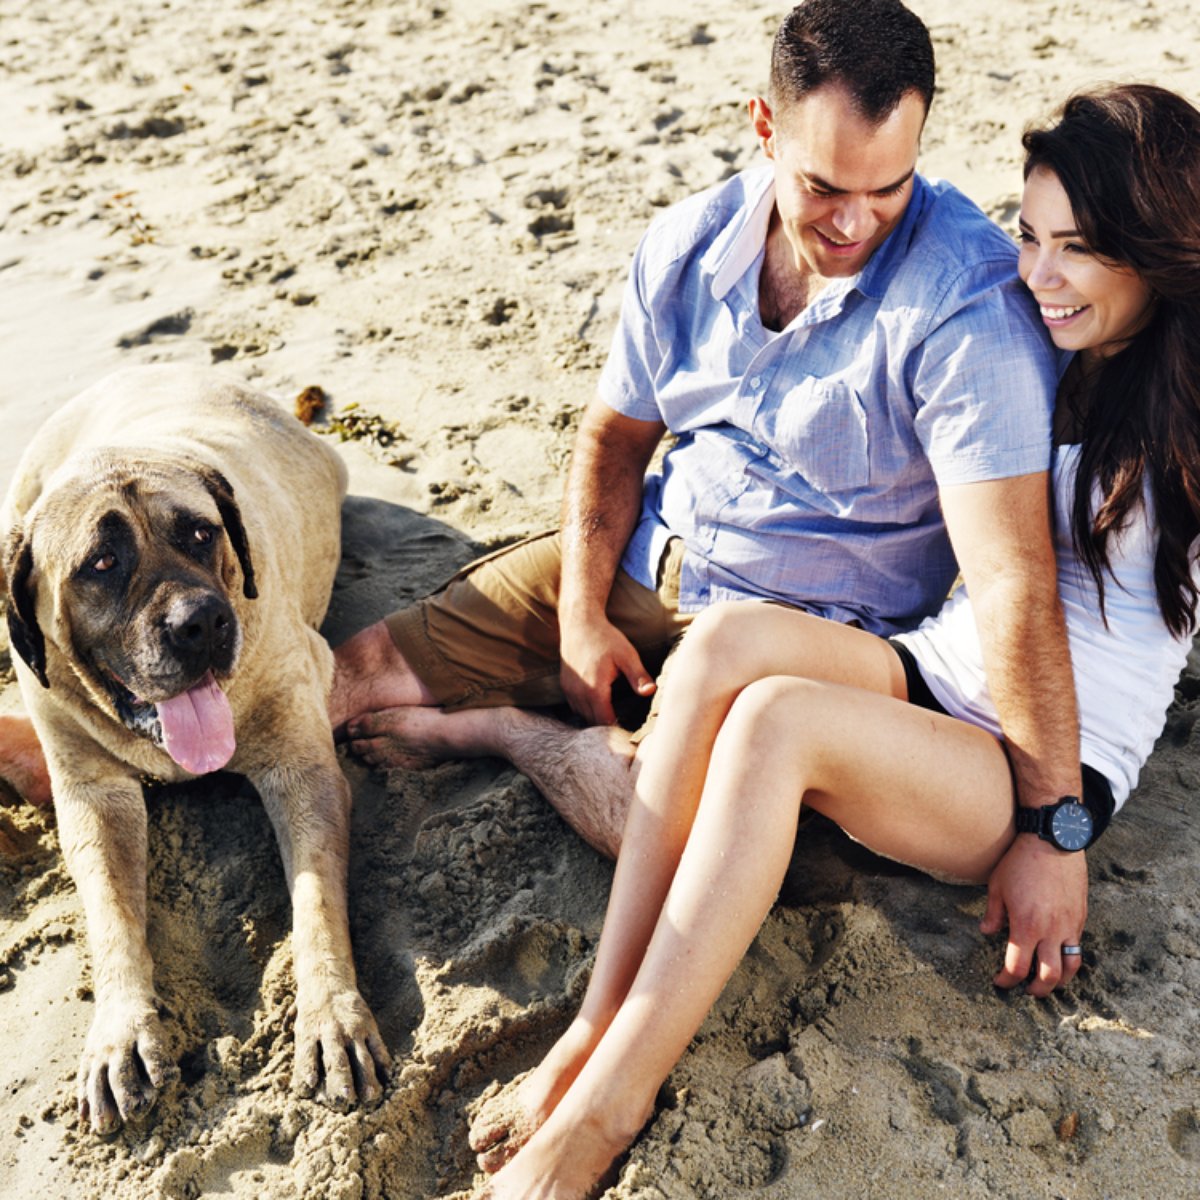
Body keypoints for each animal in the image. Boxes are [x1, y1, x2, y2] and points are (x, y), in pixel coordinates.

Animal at [1, 364, 388, 1132]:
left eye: (202, 533)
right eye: (101, 562)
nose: (201, 621)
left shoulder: (303, 766)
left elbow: (317, 901)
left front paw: (332, 1015)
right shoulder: (93, 797)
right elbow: (112, 914)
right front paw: (120, 1031)